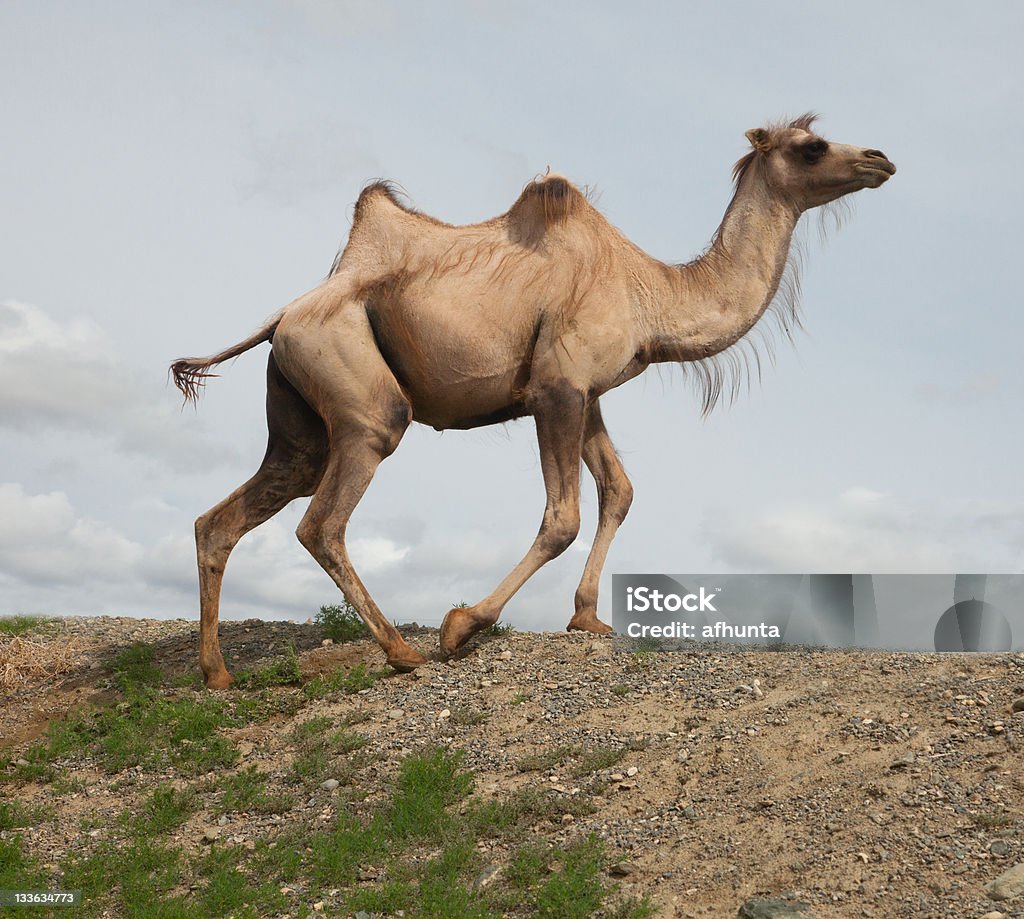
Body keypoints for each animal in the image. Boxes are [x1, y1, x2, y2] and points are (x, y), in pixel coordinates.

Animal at [176, 114, 897, 684]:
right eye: (812, 146)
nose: (880, 158)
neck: (649, 294)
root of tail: (281, 317)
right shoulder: (557, 387)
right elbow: (562, 517)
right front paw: (464, 626)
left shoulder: (589, 393)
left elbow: (619, 491)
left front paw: (587, 617)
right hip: (359, 393)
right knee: (323, 519)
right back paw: (402, 652)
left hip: (299, 416)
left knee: (226, 517)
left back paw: (217, 674)